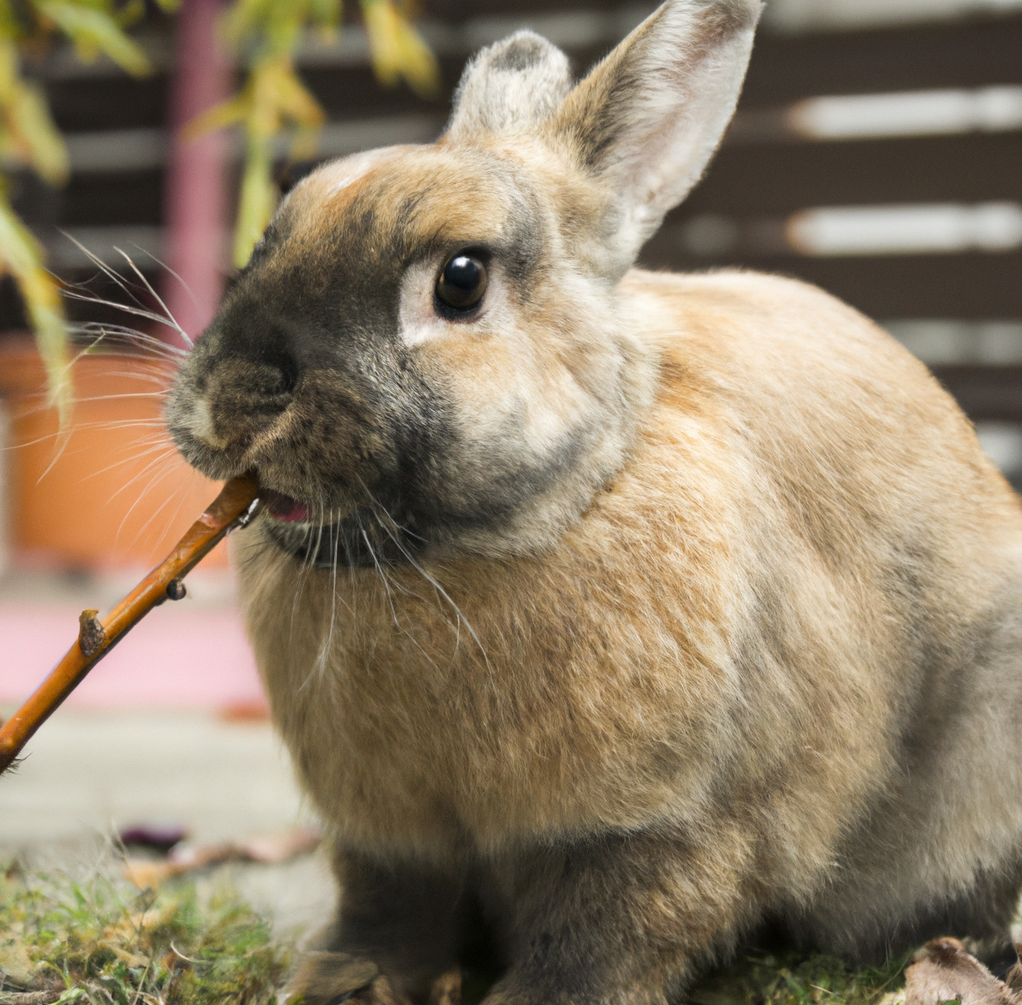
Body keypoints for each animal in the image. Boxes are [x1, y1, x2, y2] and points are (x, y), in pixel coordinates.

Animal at [161, 0, 1022, 1001]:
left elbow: (610, 930)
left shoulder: (658, 828)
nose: (233, 393)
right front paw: (339, 979)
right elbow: (388, 912)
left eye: (460, 279)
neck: (478, 543)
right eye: (270, 237)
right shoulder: (391, 837)